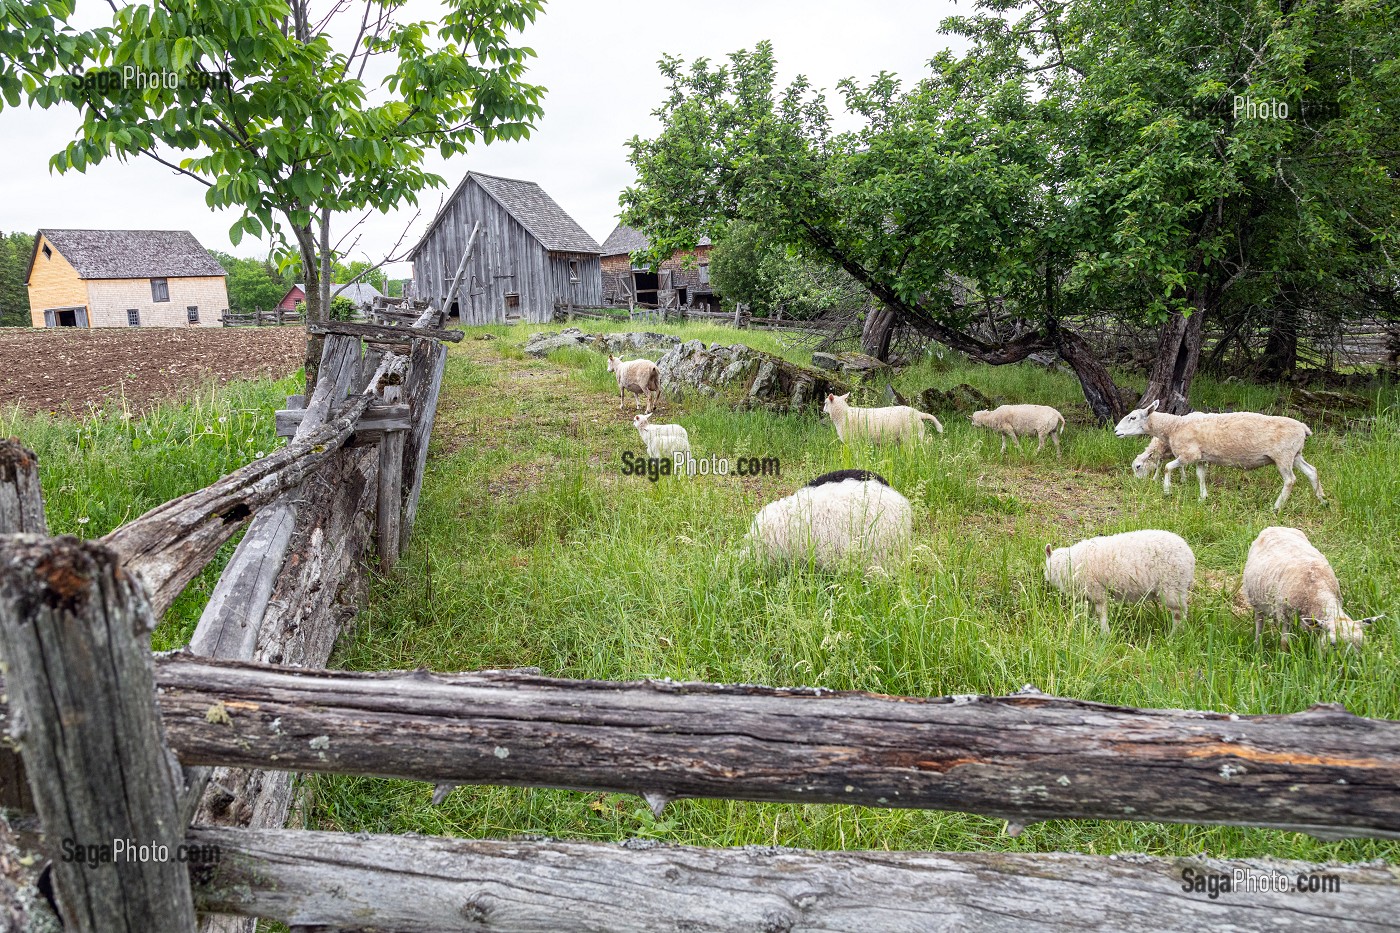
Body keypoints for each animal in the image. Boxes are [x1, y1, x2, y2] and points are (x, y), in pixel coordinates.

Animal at [817, 389, 946, 445]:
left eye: (825, 403)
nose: (822, 410)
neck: (843, 414)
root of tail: (918, 413)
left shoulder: (851, 440)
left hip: (911, 435)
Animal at [1041, 529, 1192, 633]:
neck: (1069, 564)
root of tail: (1189, 553)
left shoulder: (1097, 590)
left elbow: (1101, 613)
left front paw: (1104, 633)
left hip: (1173, 586)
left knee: (1179, 614)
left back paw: (1175, 636)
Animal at [1114, 400, 1321, 512]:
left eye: (1133, 417)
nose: (1115, 431)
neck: (1174, 426)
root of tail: (1303, 428)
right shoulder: (1200, 457)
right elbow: (1200, 476)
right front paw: (1202, 497)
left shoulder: (1189, 454)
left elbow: (1167, 467)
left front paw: (1167, 491)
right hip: (1296, 454)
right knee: (1312, 471)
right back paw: (1322, 500)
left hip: (1283, 456)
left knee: (1290, 480)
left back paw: (1277, 507)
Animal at [1243, 523, 1383, 647]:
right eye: (1333, 644)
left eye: (1361, 645)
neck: (1318, 589)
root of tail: (1275, 527)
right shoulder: (1285, 615)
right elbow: (1285, 643)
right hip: (1257, 603)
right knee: (1259, 622)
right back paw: (1258, 646)